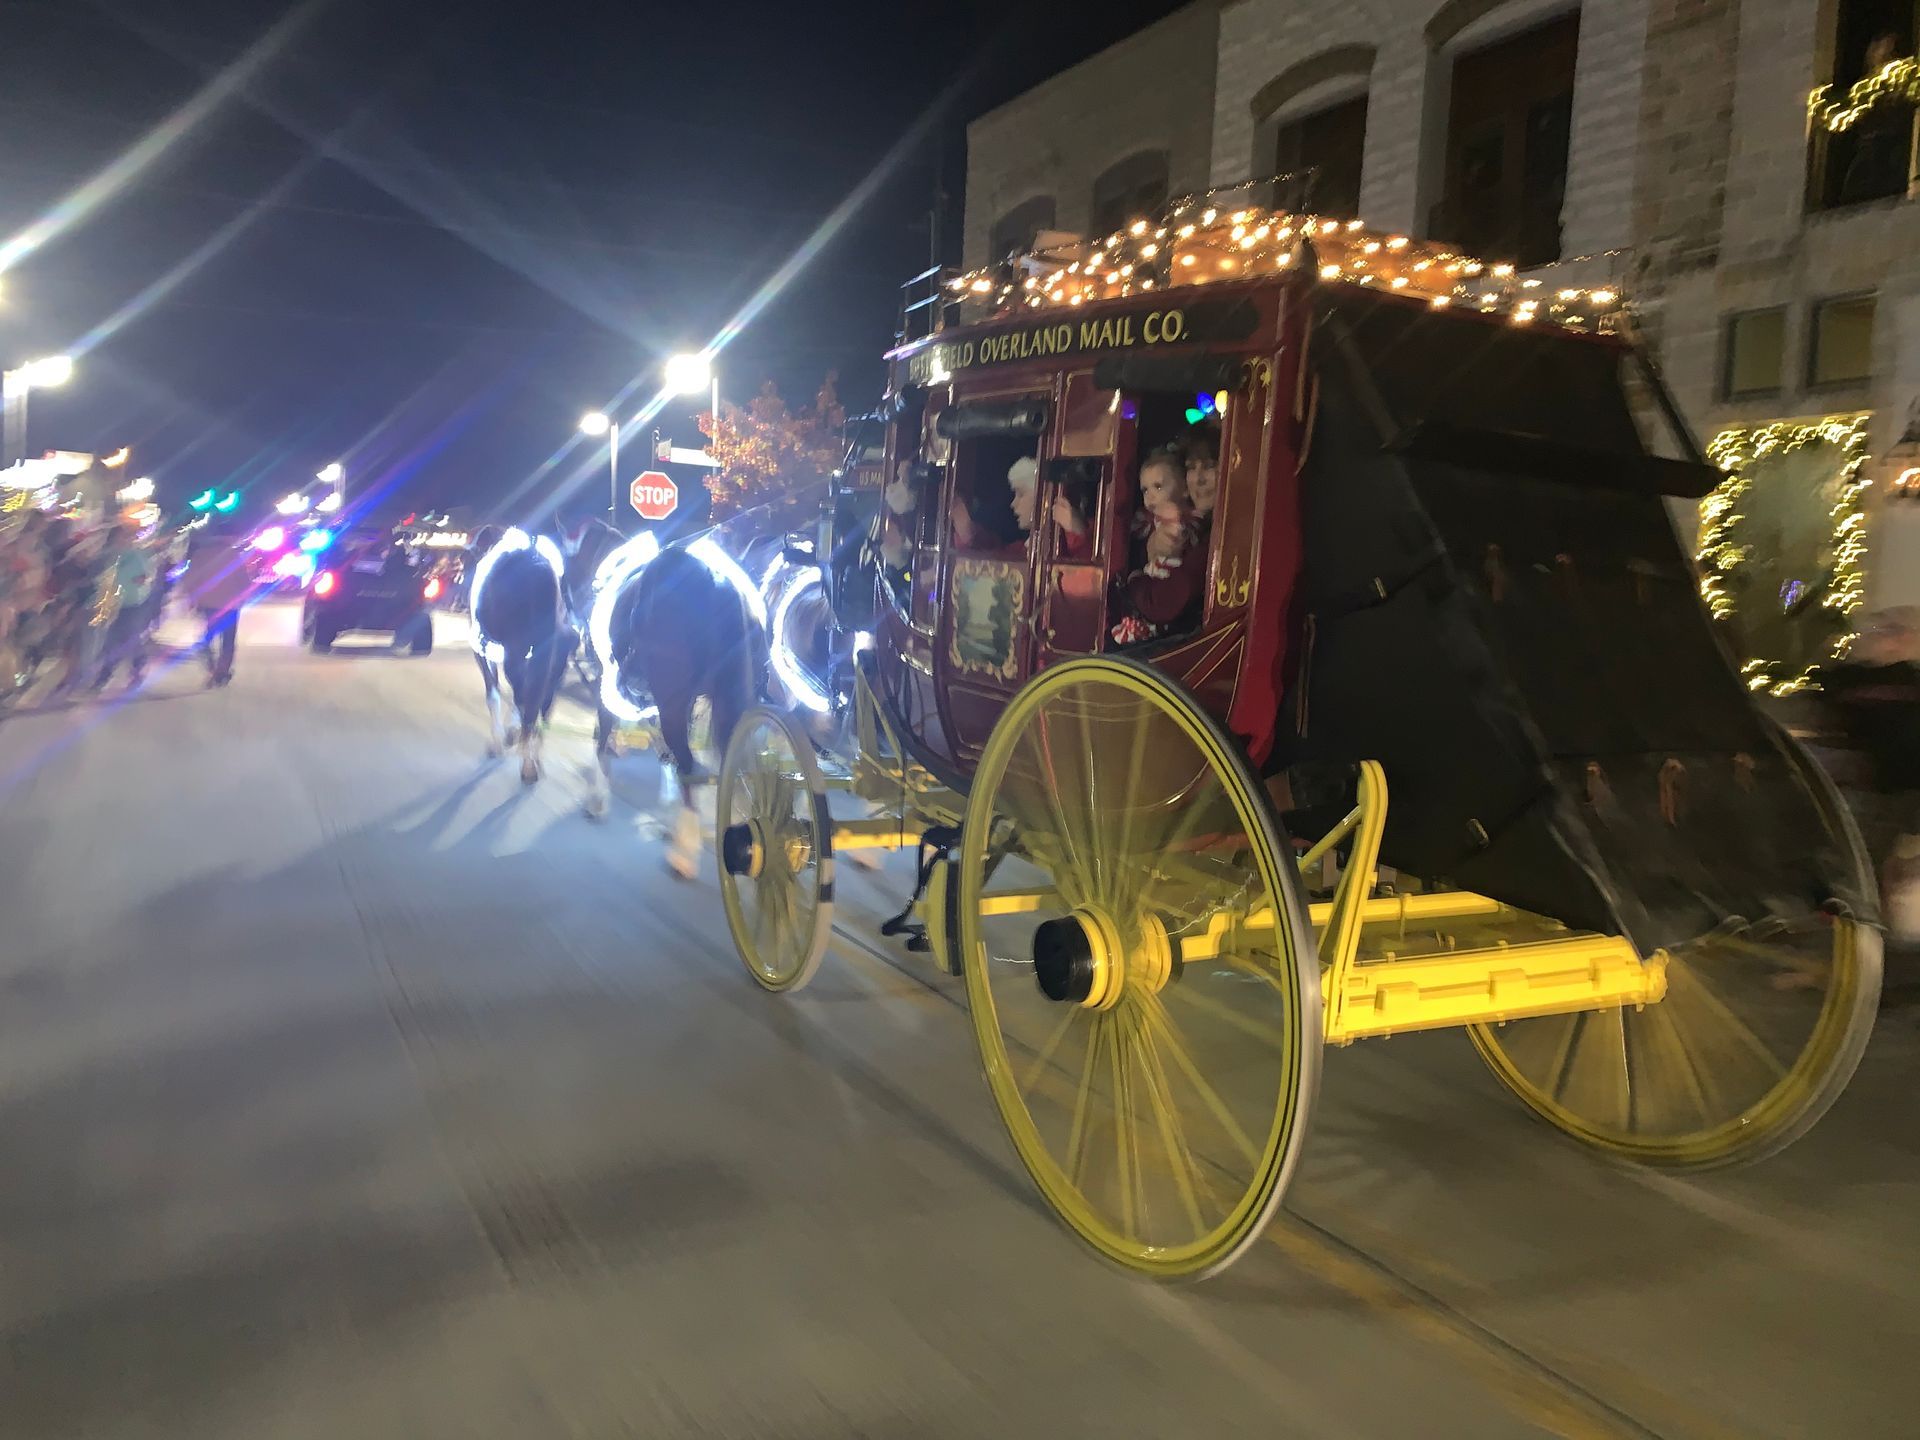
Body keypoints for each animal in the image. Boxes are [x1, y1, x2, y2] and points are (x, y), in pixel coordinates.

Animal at [470, 527, 576, 783]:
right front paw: (510, 736)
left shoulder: (483, 650)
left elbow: (494, 694)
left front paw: (499, 743)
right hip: (555, 665)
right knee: (542, 705)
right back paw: (533, 757)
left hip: (516, 652)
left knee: (524, 697)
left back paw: (525, 759)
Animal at [587, 540, 767, 877]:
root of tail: (720, 583)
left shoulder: (611, 681)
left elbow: (604, 733)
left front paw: (597, 799)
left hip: (672, 699)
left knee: (689, 763)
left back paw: (684, 852)